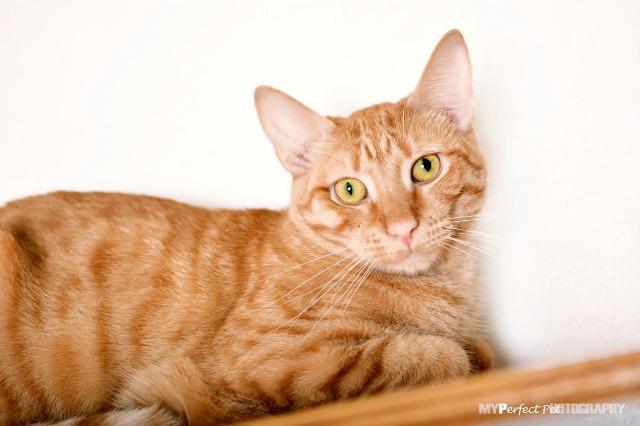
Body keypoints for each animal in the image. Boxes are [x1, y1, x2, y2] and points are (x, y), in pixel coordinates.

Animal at [0, 30, 490, 426]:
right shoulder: (269, 362)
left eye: (425, 167)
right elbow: (433, 355)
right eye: (350, 190)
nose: (403, 227)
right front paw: (455, 353)